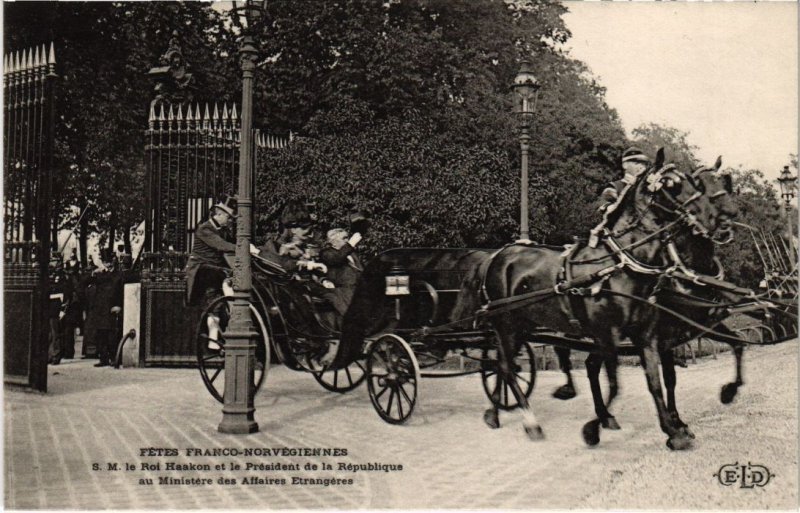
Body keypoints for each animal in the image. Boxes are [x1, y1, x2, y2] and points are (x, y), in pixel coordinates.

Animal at [468, 152, 736, 448]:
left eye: (722, 182)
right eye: (671, 184)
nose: (719, 219)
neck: (622, 263)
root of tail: (497, 256)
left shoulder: (647, 333)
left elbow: (655, 380)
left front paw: (673, 430)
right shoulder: (613, 334)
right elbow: (620, 383)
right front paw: (593, 429)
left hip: (522, 327)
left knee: (506, 366)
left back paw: (495, 412)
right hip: (507, 325)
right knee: (505, 366)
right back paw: (530, 422)